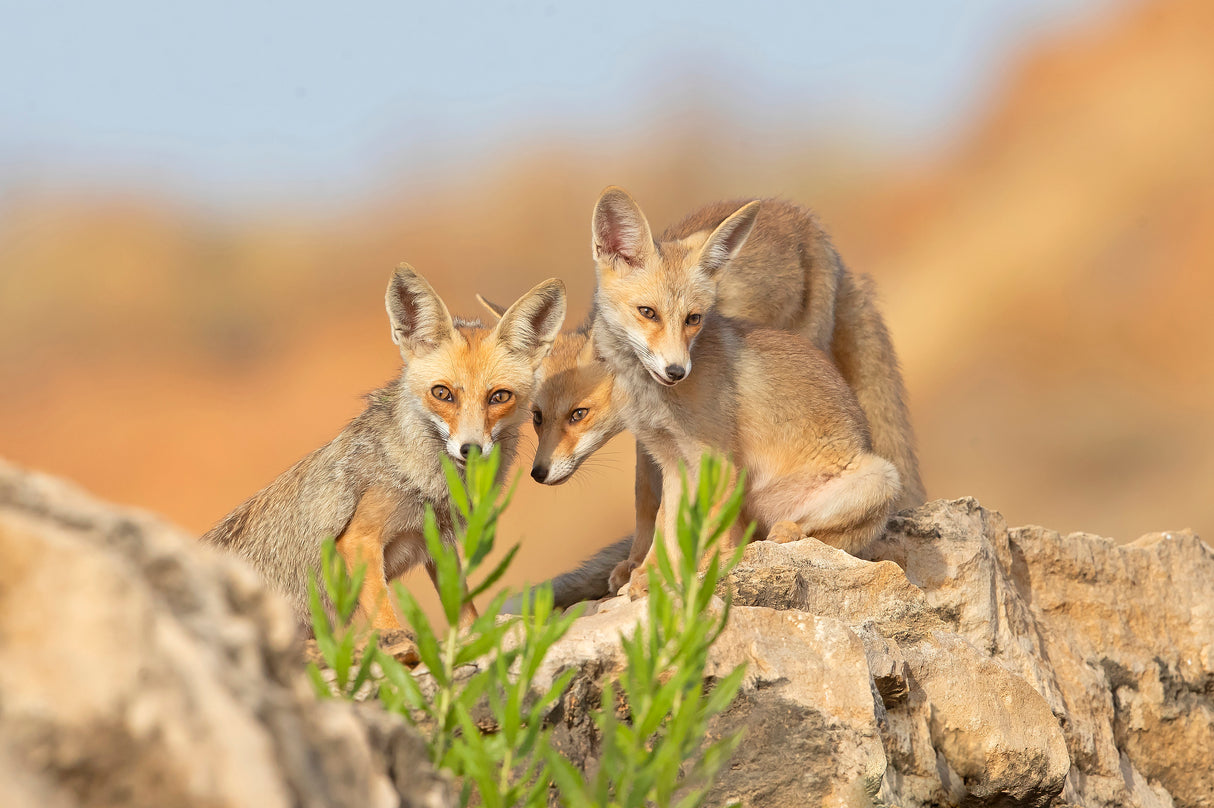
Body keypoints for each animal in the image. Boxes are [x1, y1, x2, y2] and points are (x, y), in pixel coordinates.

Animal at [201, 264, 567, 631]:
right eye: (442, 393)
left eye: (499, 397)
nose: (471, 449)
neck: (428, 485)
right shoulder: (359, 541)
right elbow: (388, 622)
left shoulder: (440, 543)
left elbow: (465, 613)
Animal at [588, 186, 902, 595]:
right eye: (648, 312)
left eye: (693, 318)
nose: (676, 371)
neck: (654, 401)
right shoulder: (670, 461)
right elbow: (662, 524)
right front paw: (650, 576)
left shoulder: (718, 460)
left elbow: (708, 531)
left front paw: (700, 572)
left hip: (881, 478)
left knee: (825, 539)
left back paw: (787, 533)